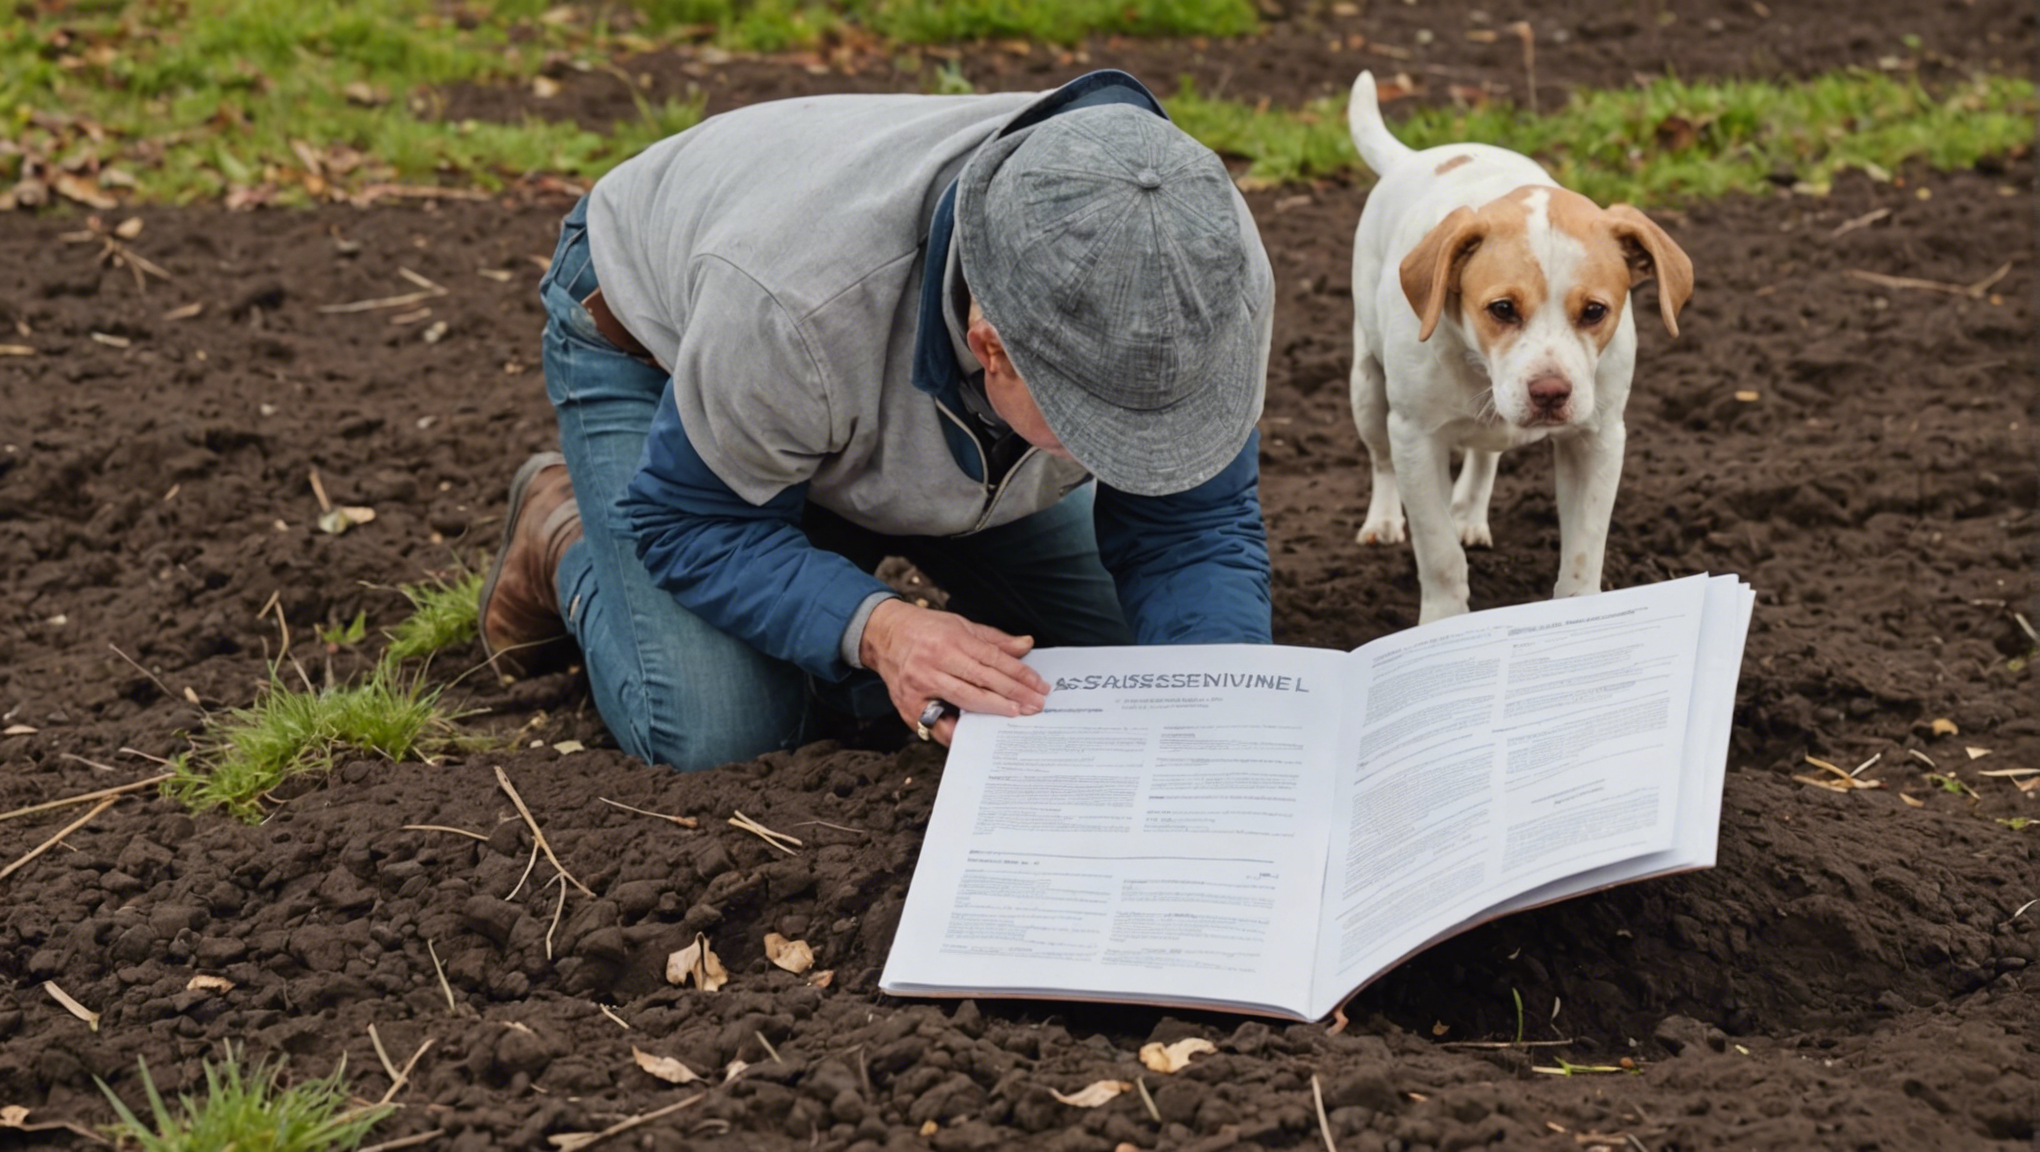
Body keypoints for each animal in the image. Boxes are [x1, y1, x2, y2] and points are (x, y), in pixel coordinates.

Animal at [1346, 70, 1697, 619]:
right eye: (1502, 309)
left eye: (1595, 311)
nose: (1550, 393)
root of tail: (1413, 157)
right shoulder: (1414, 437)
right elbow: (1439, 553)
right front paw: (1442, 622)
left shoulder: (1598, 438)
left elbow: (1584, 550)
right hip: (1366, 386)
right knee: (1380, 459)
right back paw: (1383, 521)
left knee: (1485, 452)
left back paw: (1469, 513)